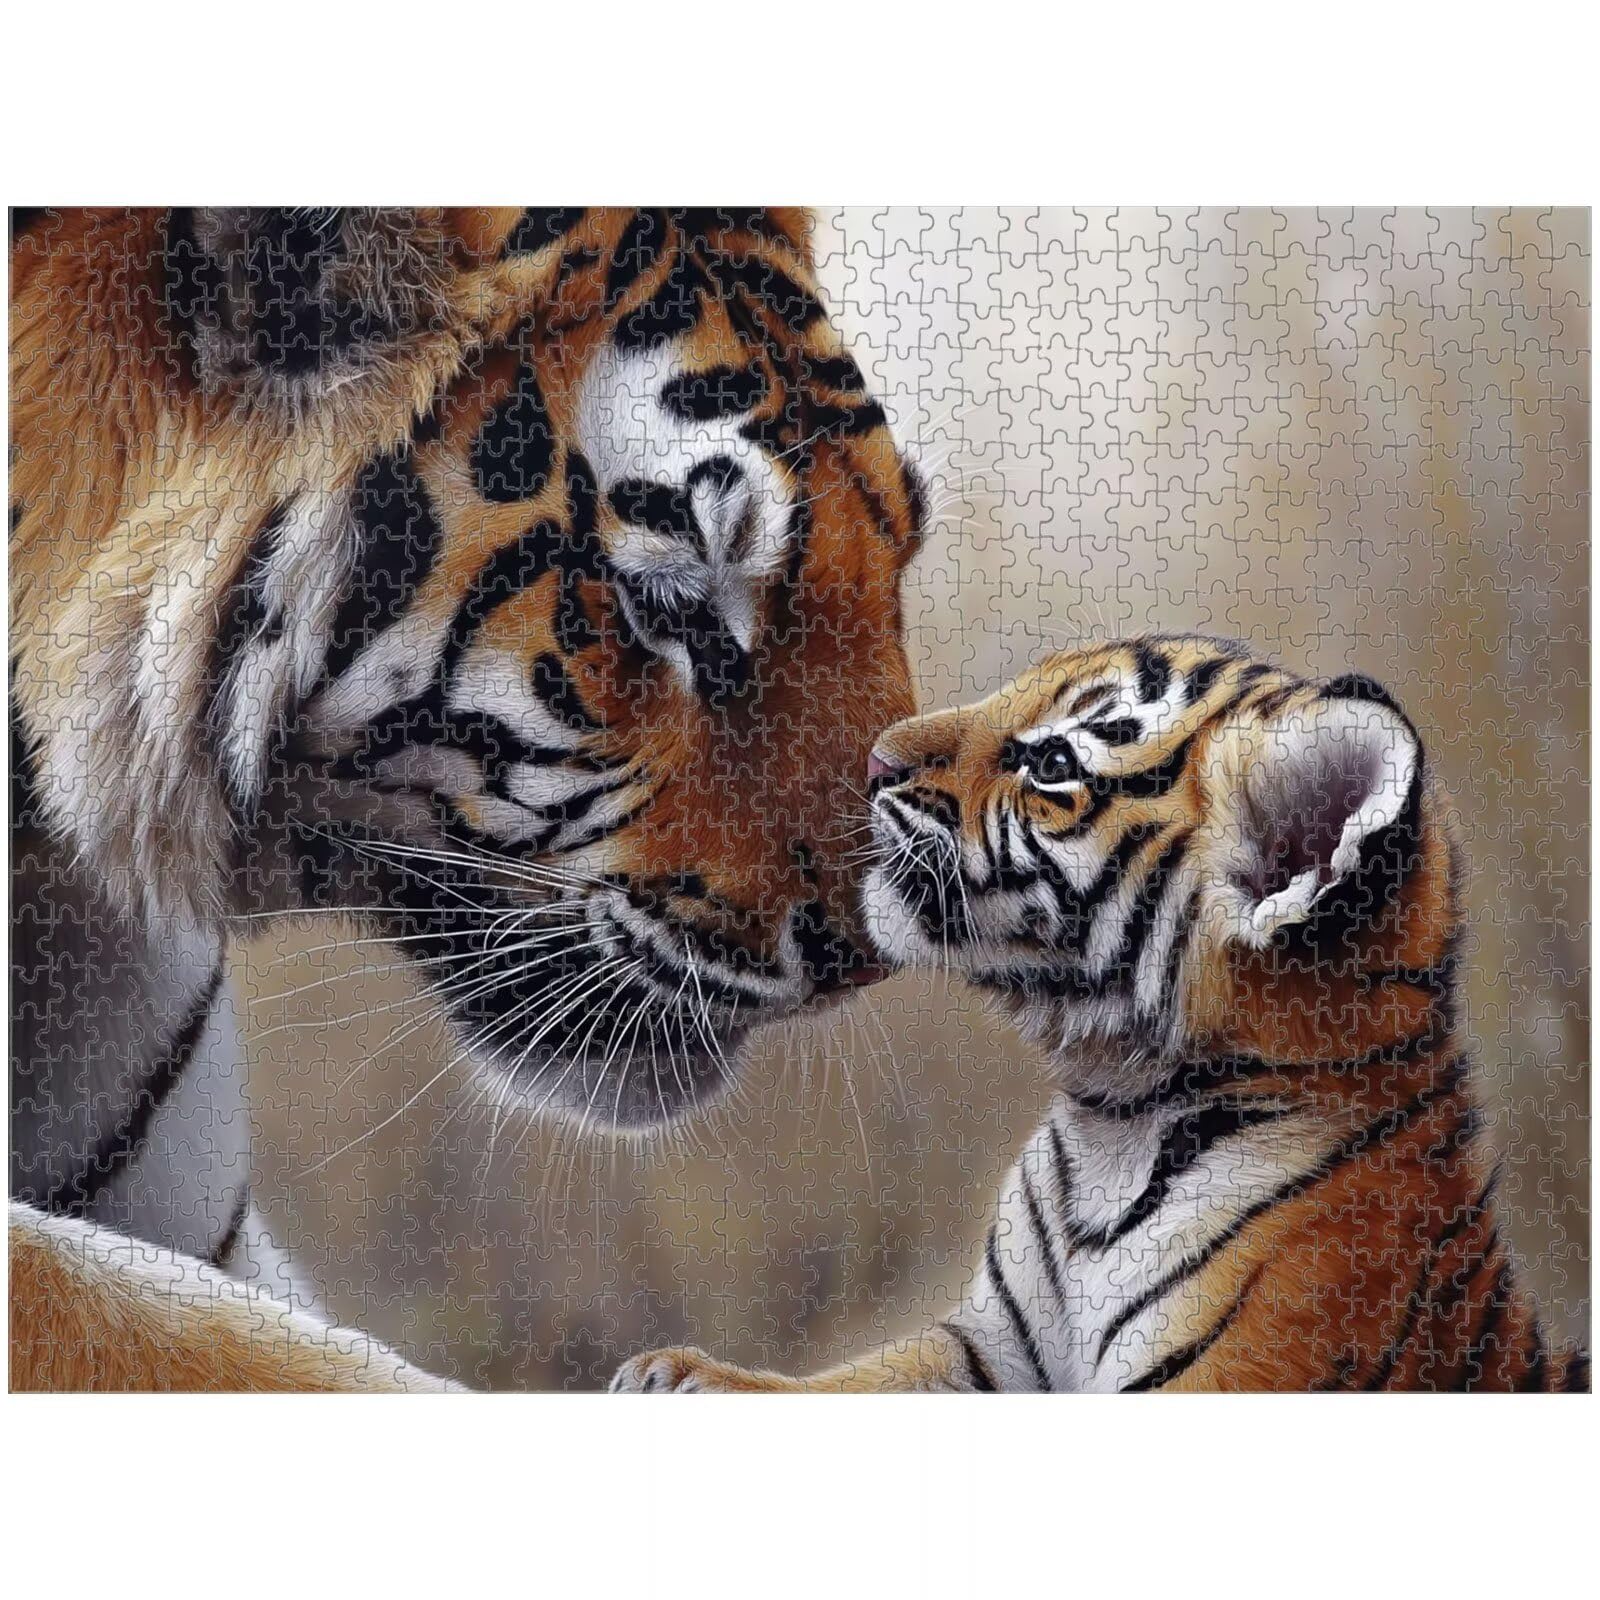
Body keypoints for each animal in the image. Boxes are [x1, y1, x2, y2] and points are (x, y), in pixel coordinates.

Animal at [612, 635, 1590, 1392]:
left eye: (1053, 763)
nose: (871, 761)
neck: (1111, 1116)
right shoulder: (986, 1348)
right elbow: (854, 1381)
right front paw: (686, 1375)